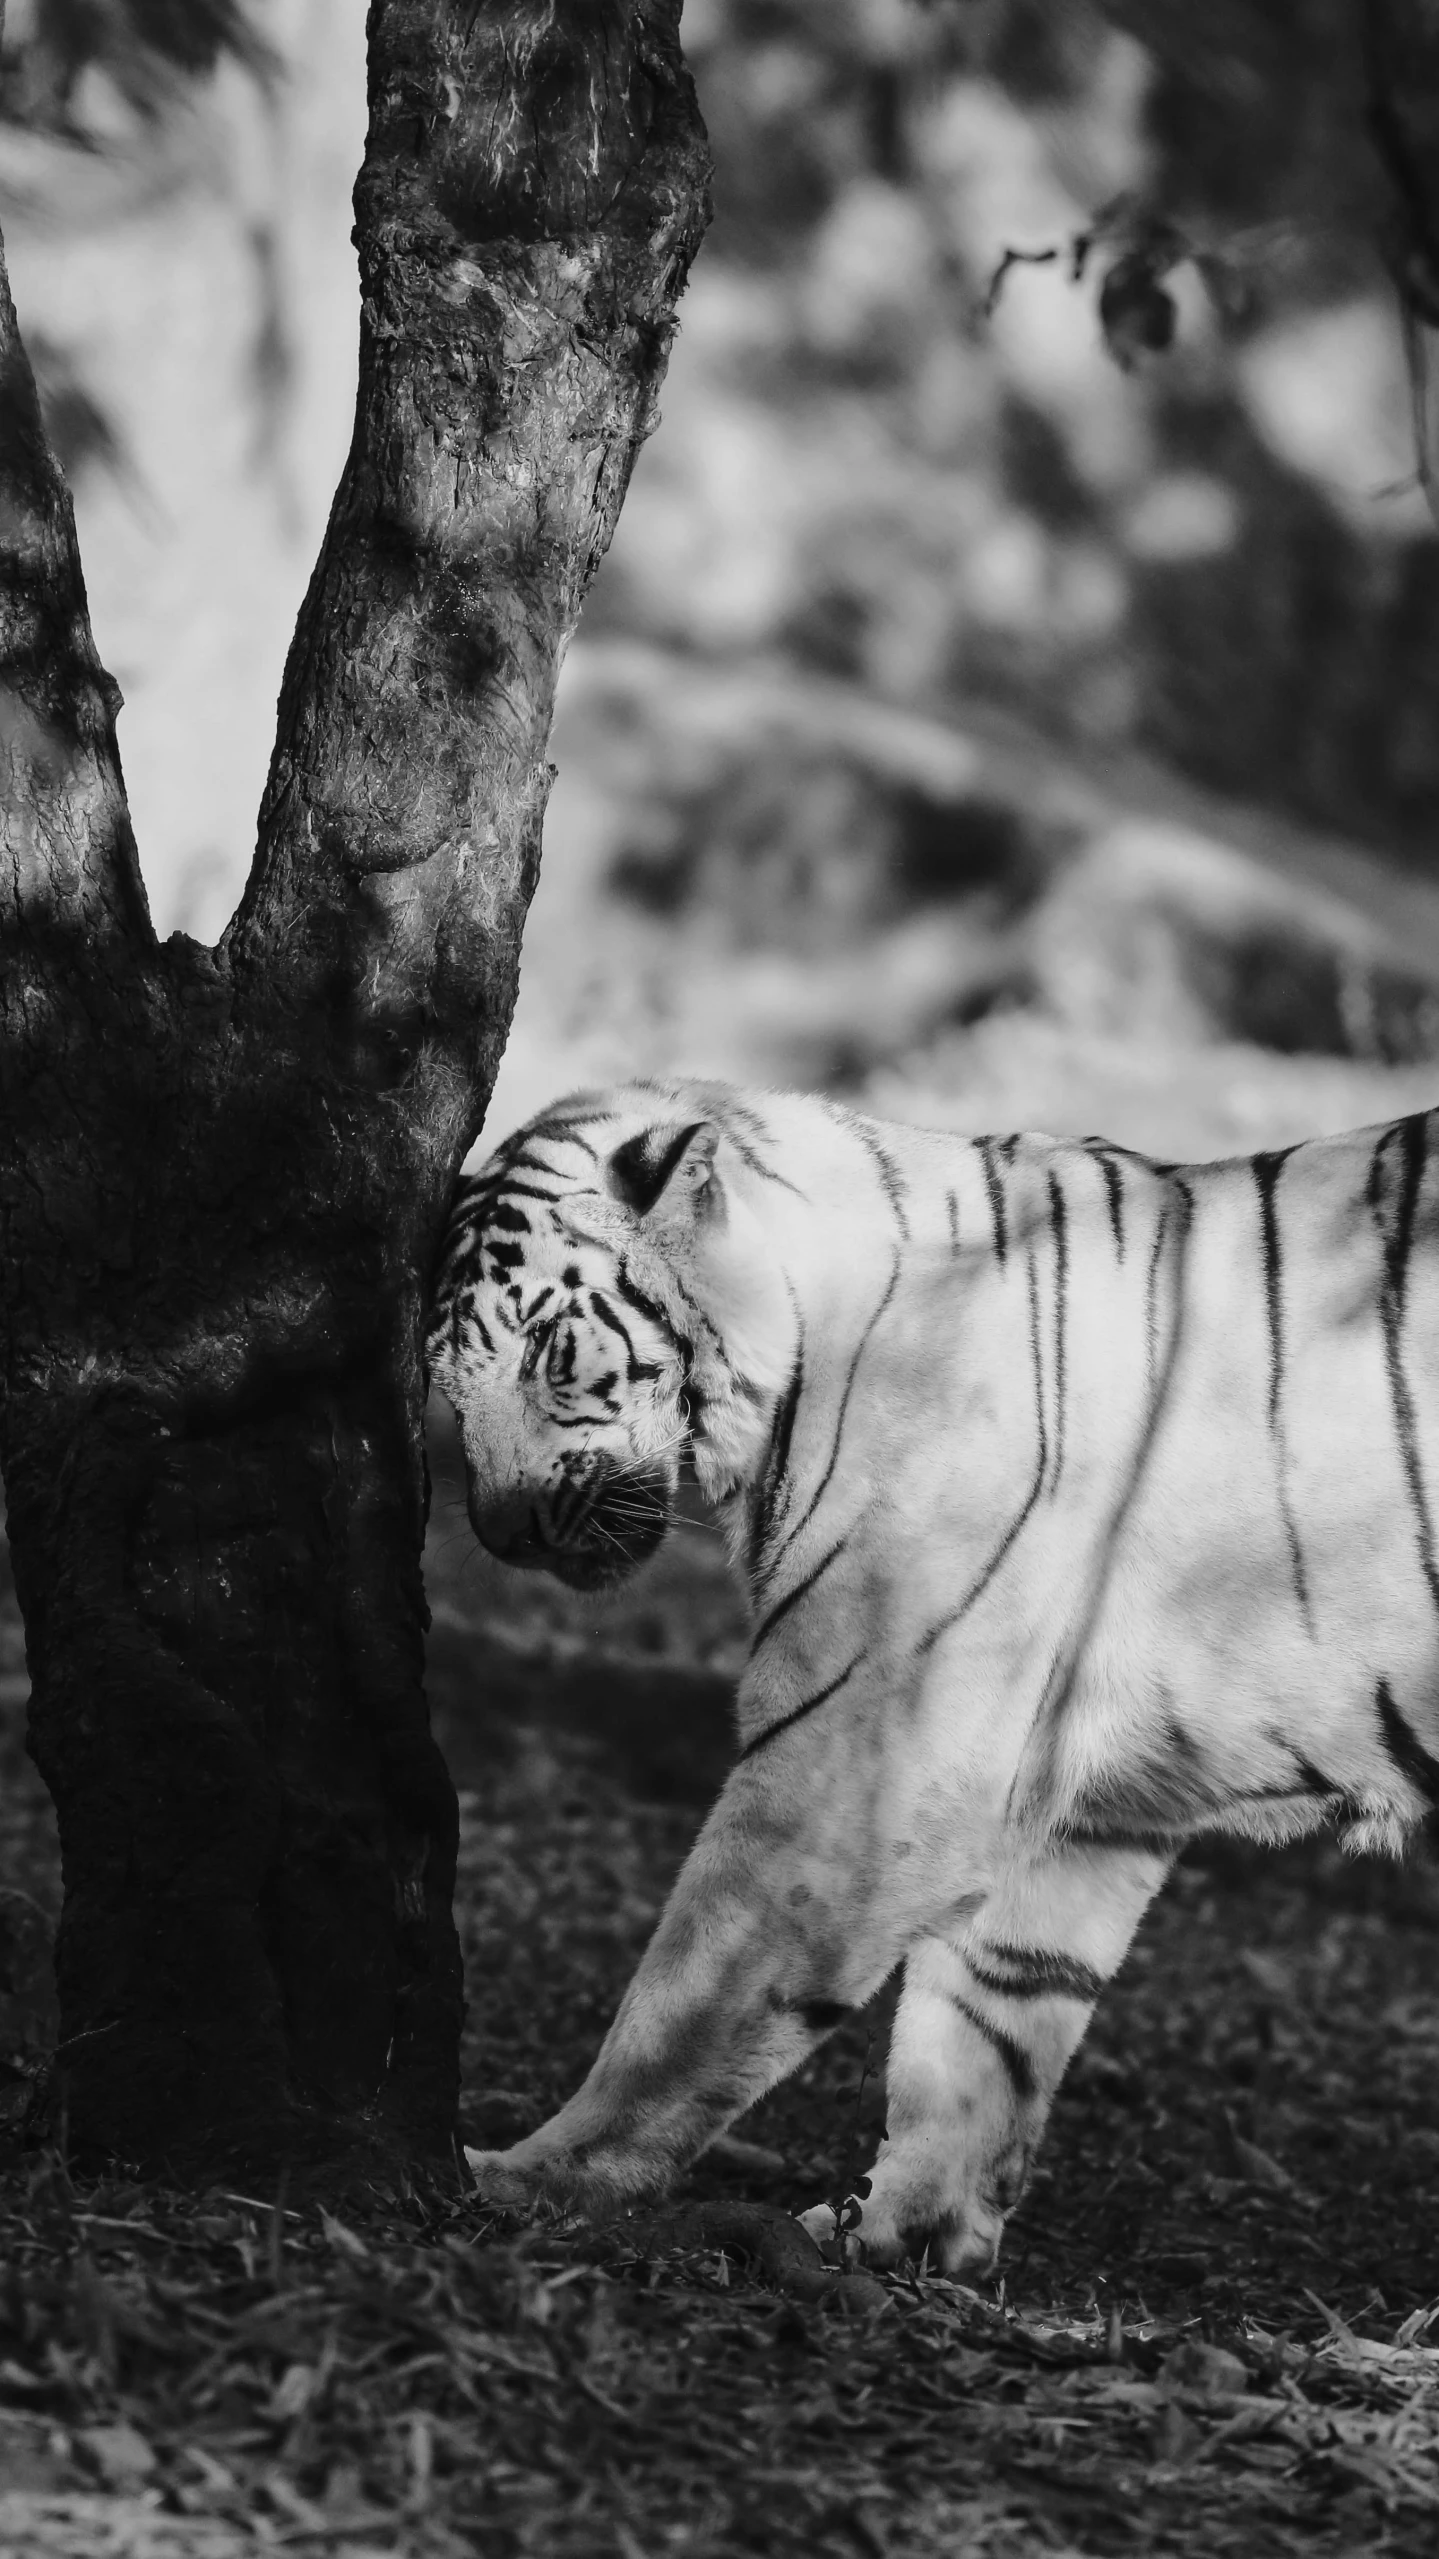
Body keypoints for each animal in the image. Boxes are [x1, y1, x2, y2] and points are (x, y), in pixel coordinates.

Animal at [422, 1069, 1433, 2272]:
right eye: (443, 1384)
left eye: (546, 1352)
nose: (499, 1531)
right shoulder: (1082, 1809)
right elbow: (986, 2022)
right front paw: (901, 2235)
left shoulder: (856, 1760)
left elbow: (685, 1998)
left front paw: (527, 2177)